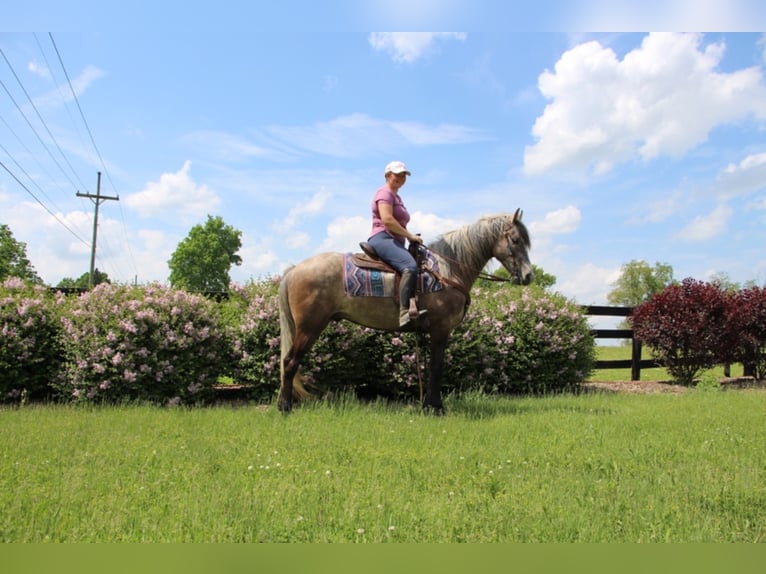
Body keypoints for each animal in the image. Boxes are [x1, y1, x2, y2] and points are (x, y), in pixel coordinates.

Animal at [280, 210, 536, 414]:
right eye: (515, 239)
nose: (528, 276)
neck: (447, 270)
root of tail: (295, 270)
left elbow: (428, 368)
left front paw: (427, 405)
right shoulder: (441, 330)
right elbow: (436, 369)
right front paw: (437, 408)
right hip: (309, 327)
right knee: (290, 362)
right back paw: (285, 407)